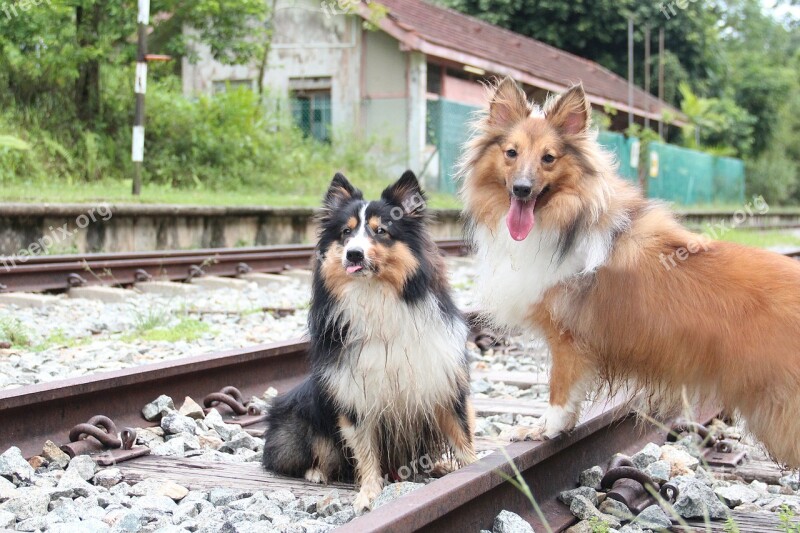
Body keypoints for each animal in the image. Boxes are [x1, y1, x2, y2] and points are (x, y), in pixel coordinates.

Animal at [262, 171, 476, 512]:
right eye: (346, 233)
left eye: (381, 231)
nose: (354, 253)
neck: (376, 295)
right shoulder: (353, 391)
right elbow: (365, 450)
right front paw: (368, 495)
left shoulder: (441, 378)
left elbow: (461, 433)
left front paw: (477, 468)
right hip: (298, 418)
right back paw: (315, 473)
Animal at [460, 78, 800, 466]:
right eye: (511, 153)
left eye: (549, 158)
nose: (522, 189)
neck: (566, 220)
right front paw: (547, 428)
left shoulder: (568, 339)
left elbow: (560, 390)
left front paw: (543, 429)